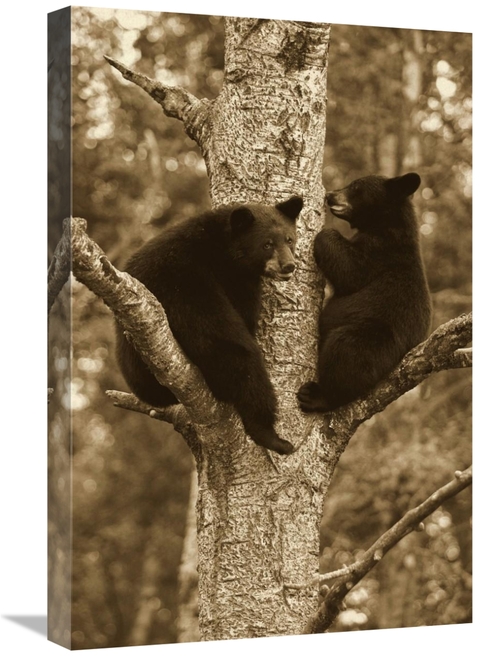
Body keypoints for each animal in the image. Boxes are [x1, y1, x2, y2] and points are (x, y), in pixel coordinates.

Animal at [116, 196, 303, 455]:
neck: (223, 252)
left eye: (289, 239)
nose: (288, 265)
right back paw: (271, 436)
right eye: (267, 244)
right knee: (240, 358)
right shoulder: (192, 281)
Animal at [297, 172, 431, 413]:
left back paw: (317, 396)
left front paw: (323, 232)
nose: (330, 195)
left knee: (346, 353)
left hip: (376, 338)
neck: (385, 225)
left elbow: (349, 270)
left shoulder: (380, 253)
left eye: (356, 188)